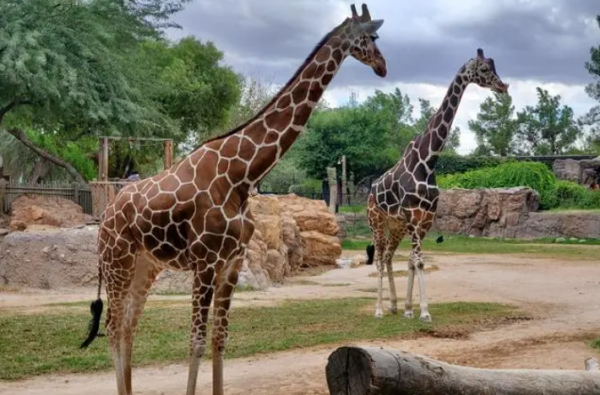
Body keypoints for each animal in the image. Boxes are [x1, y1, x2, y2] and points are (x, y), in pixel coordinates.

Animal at [81, 3, 390, 395]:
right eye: (370, 37)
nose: (382, 66)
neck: (241, 176)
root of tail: (106, 213)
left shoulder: (232, 262)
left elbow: (220, 338)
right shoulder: (205, 262)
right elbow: (196, 341)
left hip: (145, 265)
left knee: (128, 326)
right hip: (117, 260)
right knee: (113, 325)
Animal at [364, 48, 508, 322]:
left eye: (495, 66)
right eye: (484, 69)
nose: (503, 86)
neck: (428, 161)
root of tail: (369, 192)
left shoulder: (426, 218)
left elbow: (413, 260)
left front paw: (409, 309)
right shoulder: (413, 215)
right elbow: (419, 261)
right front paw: (424, 312)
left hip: (396, 225)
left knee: (388, 256)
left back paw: (393, 305)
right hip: (376, 221)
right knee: (378, 258)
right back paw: (377, 309)